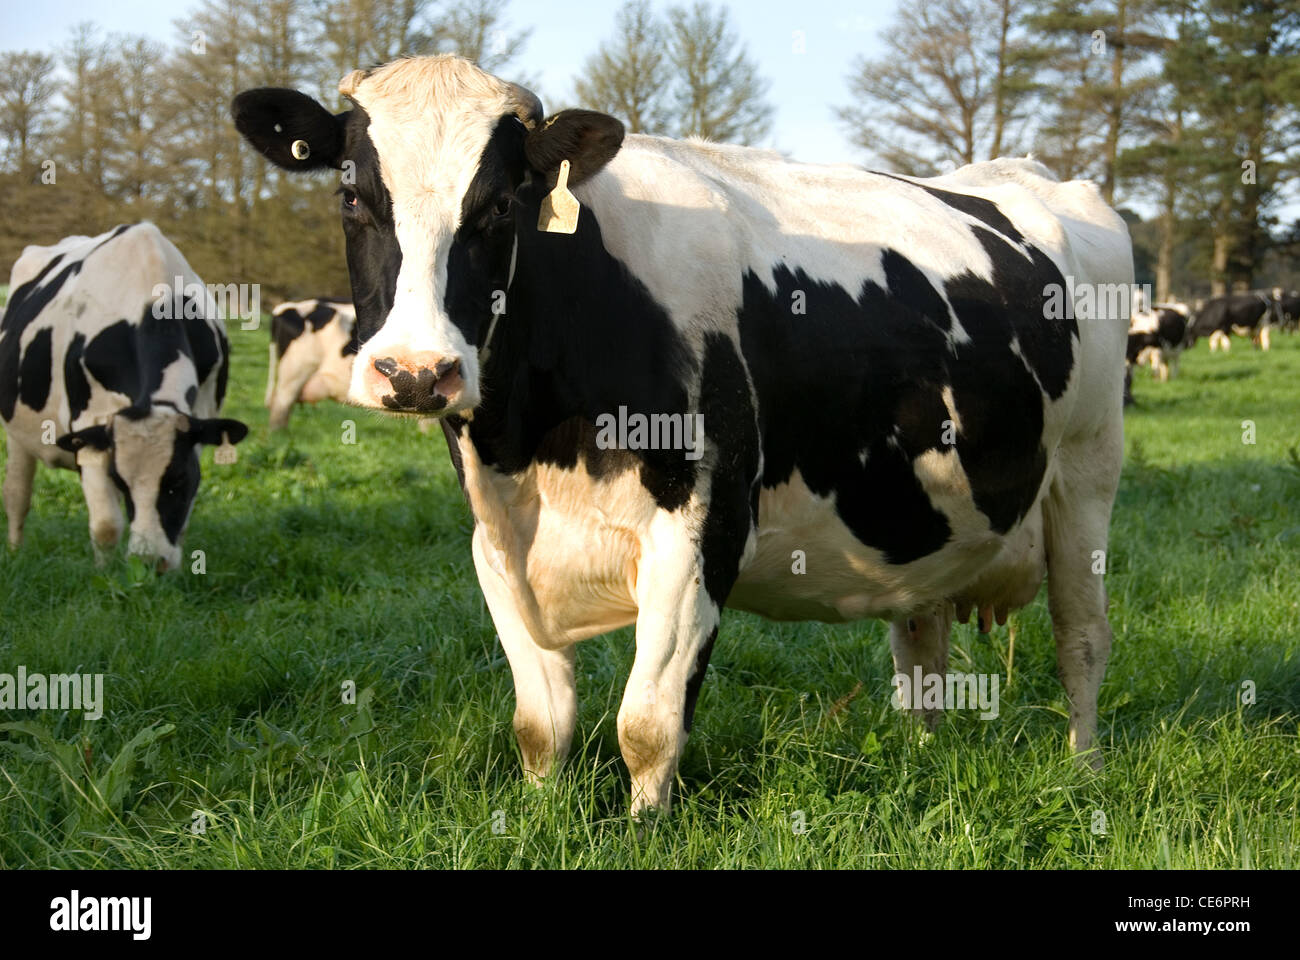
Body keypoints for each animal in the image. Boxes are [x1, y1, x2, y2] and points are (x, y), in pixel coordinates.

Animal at [1, 223, 248, 570]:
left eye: (180, 480)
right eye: (121, 480)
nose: (150, 562)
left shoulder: (201, 418)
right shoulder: (89, 428)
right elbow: (106, 526)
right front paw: (104, 576)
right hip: (16, 432)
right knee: (16, 494)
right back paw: (15, 553)